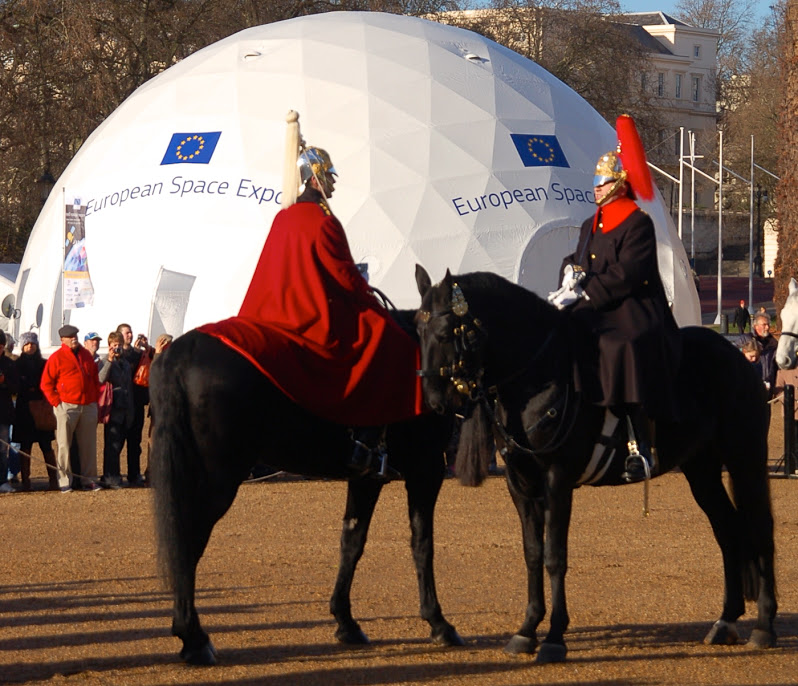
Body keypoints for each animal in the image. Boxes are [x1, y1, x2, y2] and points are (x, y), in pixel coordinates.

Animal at [151, 306, 462, 668]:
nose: (441, 399)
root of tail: (183, 349)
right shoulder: (427, 469)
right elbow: (423, 544)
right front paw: (439, 622)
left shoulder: (367, 477)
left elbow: (352, 541)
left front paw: (346, 621)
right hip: (218, 480)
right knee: (188, 543)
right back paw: (194, 639)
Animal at [416, 268, 780, 668]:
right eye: (417, 329)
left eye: (447, 331)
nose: (434, 400)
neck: (536, 378)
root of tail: (737, 356)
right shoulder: (520, 483)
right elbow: (533, 553)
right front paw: (526, 630)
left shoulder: (557, 479)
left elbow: (555, 556)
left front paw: (554, 638)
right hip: (701, 469)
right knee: (728, 531)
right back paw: (726, 620)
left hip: (745, 458)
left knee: (760, 529)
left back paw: (764, 626)